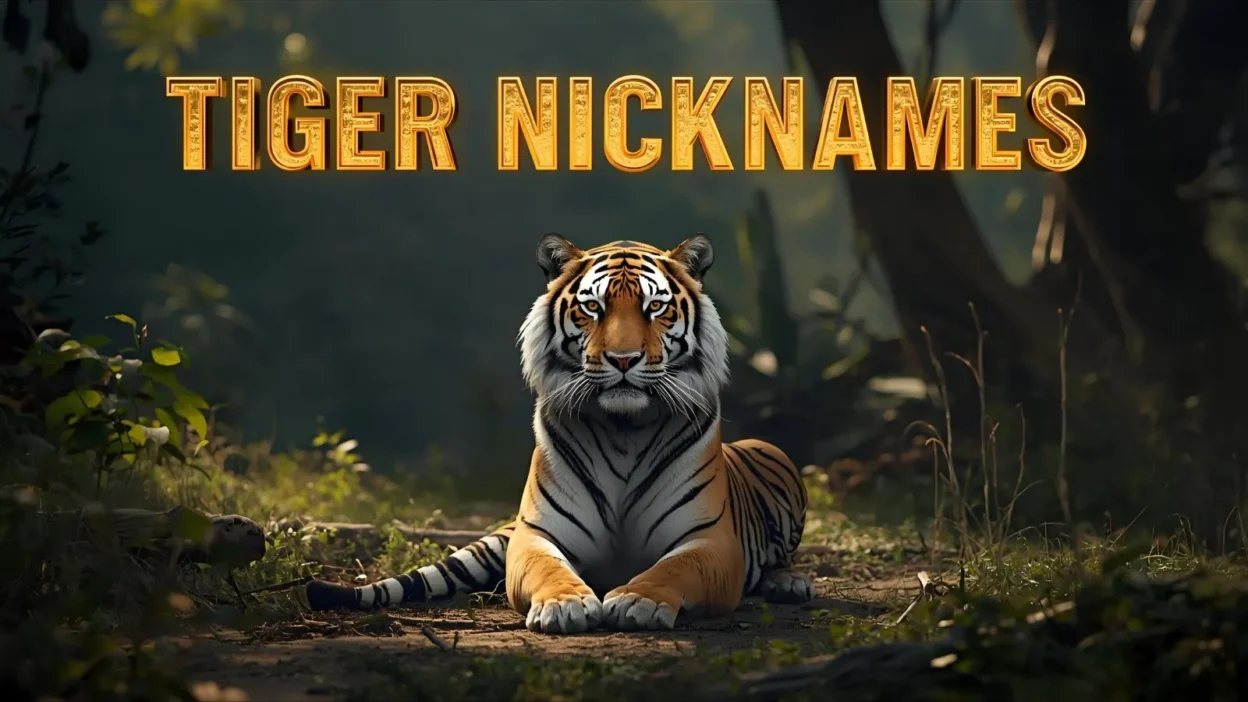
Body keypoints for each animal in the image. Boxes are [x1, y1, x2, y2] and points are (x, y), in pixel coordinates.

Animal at [305, 234, 813, 633]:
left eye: (655, 307)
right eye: (593, 306)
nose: (623, 359)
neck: (624, 428)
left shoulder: (709, 541)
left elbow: (673, 570)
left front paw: (638, 599)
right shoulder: (536, 535)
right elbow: (548, 569)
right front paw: (565, 605)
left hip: (774, 452)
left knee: (783, 557)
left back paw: (788, 582)